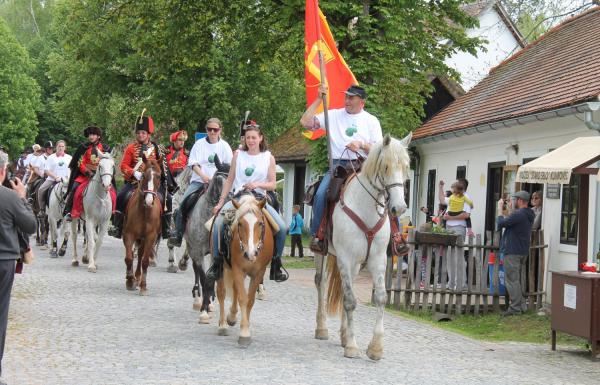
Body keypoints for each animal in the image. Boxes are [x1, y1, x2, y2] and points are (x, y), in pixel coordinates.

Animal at [123, 156, 163, 294]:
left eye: (159, 176)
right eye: (144, 175)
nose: (149, 201)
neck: (145, 211)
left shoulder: (150, 237)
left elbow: (145, 261)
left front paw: (143, 285)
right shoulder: (129, 235)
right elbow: (129, 258)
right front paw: (130, 280)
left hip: (144, 239)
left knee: (140, 256)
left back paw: (139, 277)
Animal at [184, 160, 229, 322]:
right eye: (219, 179)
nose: (229, 198)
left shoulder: (215, 254)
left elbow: (211, 280)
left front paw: (209, 304)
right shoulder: (197, 252)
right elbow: (204, 279)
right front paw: (204, 309)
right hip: (192, 249)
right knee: (196, 271)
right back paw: (198, 299)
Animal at [214, 194, 274, 346]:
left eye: (260, 223)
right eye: (240, 224)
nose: (250, 254)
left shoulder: (258, 273)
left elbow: (250, 300)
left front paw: (244, 326)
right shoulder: (238, 269)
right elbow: (242, 298)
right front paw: (245, 334)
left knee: (234, 290)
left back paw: (232, 317)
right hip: (220, 266)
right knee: (221, 293)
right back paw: (223, 325)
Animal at [316, 133, 410, 360]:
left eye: (405, 167)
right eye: (386, 166)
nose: (399, 207)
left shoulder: (377, 259)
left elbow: (381, 298)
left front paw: (375, 347)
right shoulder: (344, 257)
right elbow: (350, 300)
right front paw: (352, 346)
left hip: (357, 265)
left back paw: (342, 335)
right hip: (324, 255)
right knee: (321, 283)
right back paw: (322, 328)